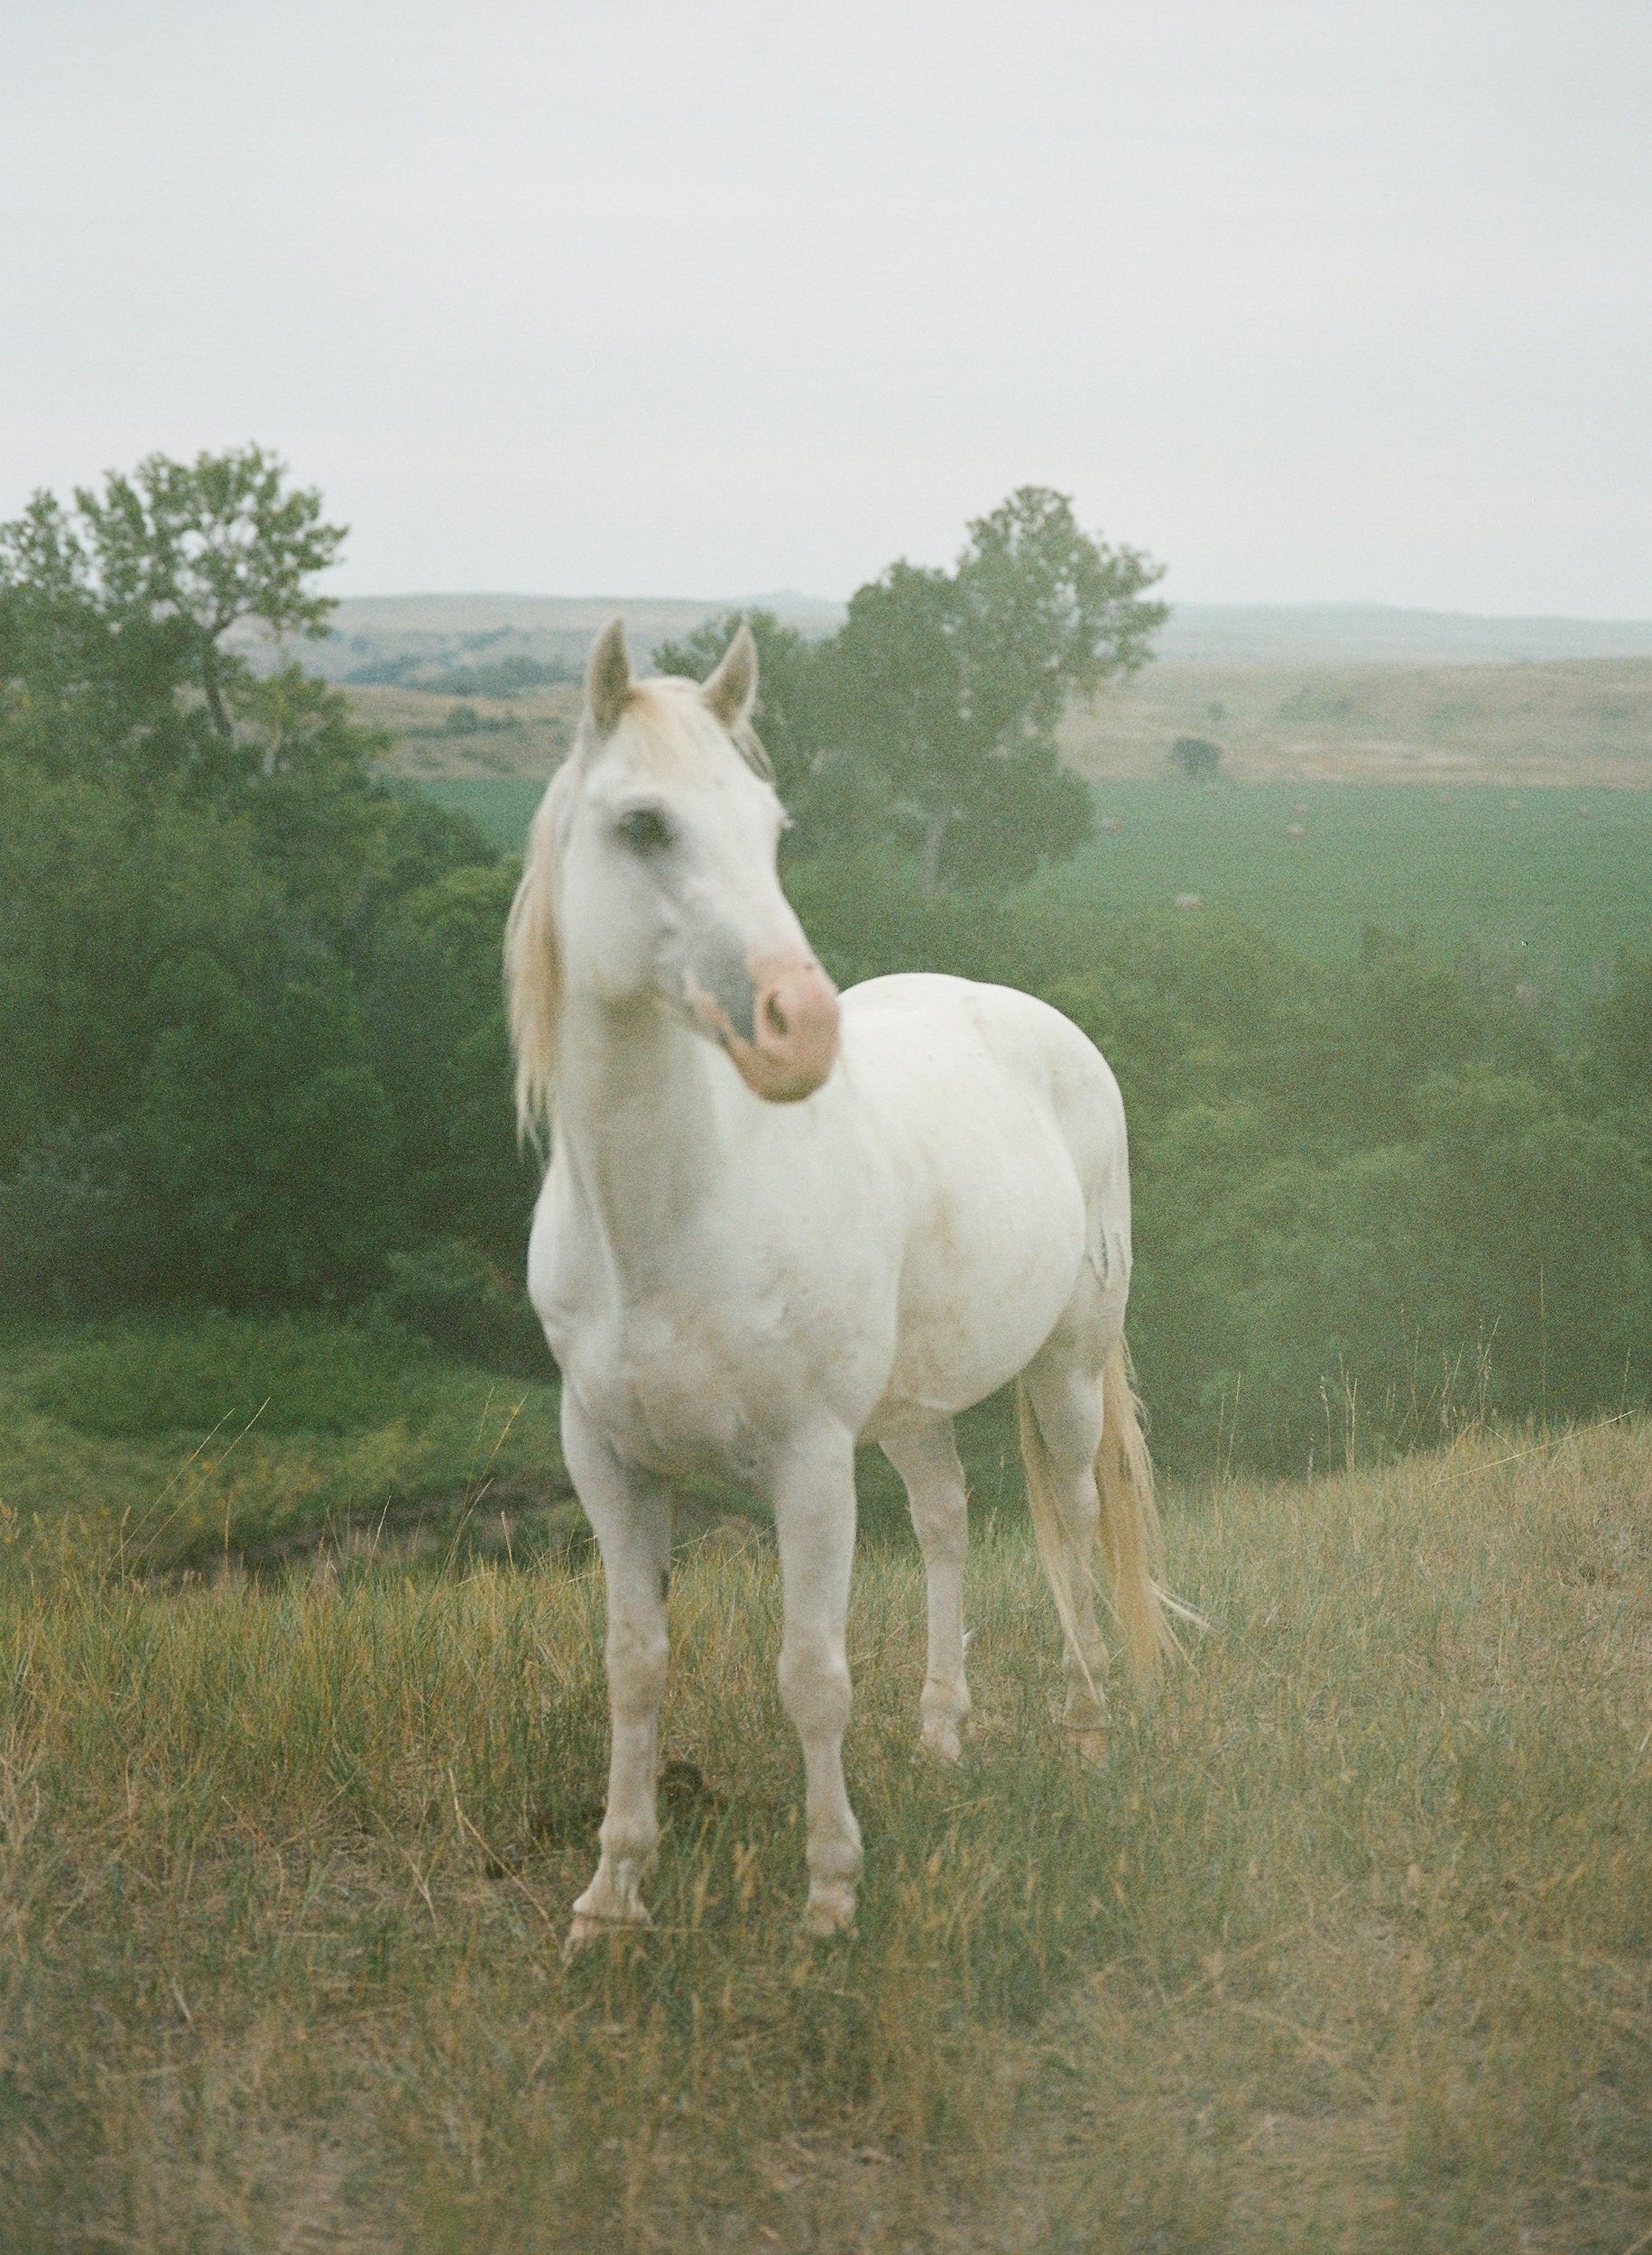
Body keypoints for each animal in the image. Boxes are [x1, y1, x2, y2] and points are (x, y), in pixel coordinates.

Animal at [503, 622, 1171, 1957]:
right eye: (643, 823)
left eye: (771, 827)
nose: (799, 1028)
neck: (667, 1218)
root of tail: (1038, 1019)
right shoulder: (607, 1460)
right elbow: (632, 1665)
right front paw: (610, 1896)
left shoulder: (808, 1463)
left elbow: (810, 1671)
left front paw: (825, 1899)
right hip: (912, 1405)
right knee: (948, 1518)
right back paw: (940, 1732)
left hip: (1066, 1369)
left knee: (1072, 1524)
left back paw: (1082, 1732)